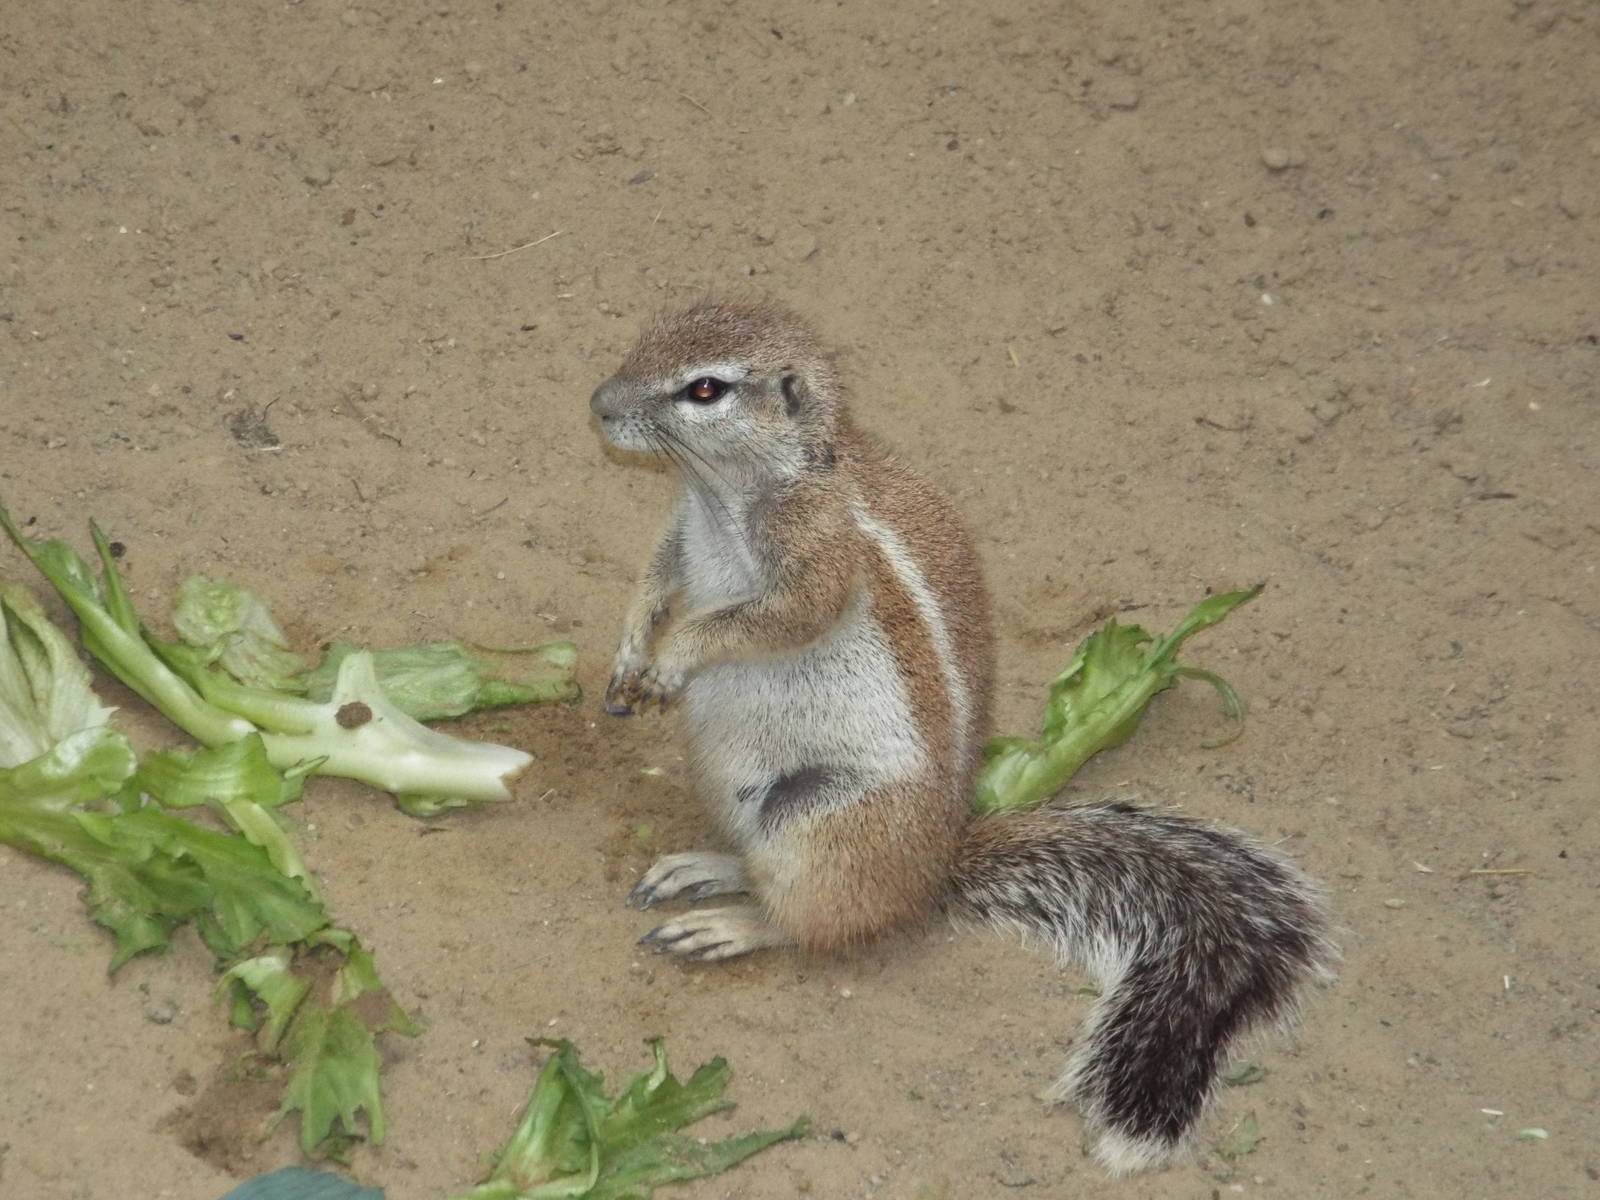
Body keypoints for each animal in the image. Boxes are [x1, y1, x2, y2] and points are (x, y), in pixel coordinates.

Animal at [588, 299, 1337, 1174]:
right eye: (646, 335)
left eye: (705, 389)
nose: (599, 405)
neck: (720, 490)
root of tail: (936, 867)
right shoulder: (679, 530)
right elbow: (657, 576)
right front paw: (633, 647)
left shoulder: (817, 554)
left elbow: (773, 617)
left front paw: (676, 653)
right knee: (757, 865)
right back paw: (705, 868)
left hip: (819, 818)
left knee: (810, 917)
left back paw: (731, 923)